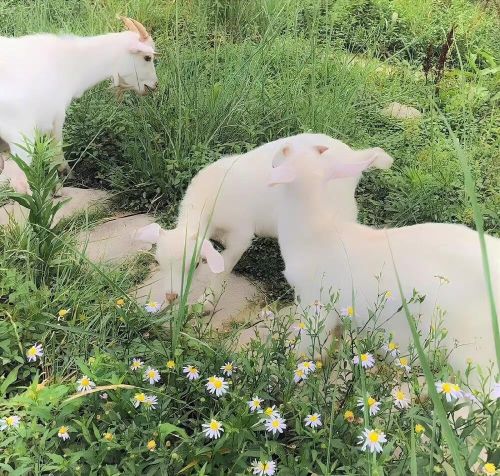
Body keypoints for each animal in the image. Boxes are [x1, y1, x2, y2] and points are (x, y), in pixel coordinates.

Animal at [0, 17, 158, 192]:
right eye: (147, 57)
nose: (154, 85)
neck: (71, 62)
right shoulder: (56, 115)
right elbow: (56, 149)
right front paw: (60, 180)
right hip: (21, 136)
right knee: (19, 182)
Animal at [135, 132, 392, 306]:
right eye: (158, 262)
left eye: (196, 264)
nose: (171, 297)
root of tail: (355, 157)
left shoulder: (240, 233)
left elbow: (223, 267)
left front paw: (207, 302)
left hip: (341, 208)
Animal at [270, 141, 500, 380]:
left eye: (285, 152)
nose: (278, 152)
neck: (317, 230)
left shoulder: (314, 303)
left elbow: (307, 349)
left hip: (474, 350)